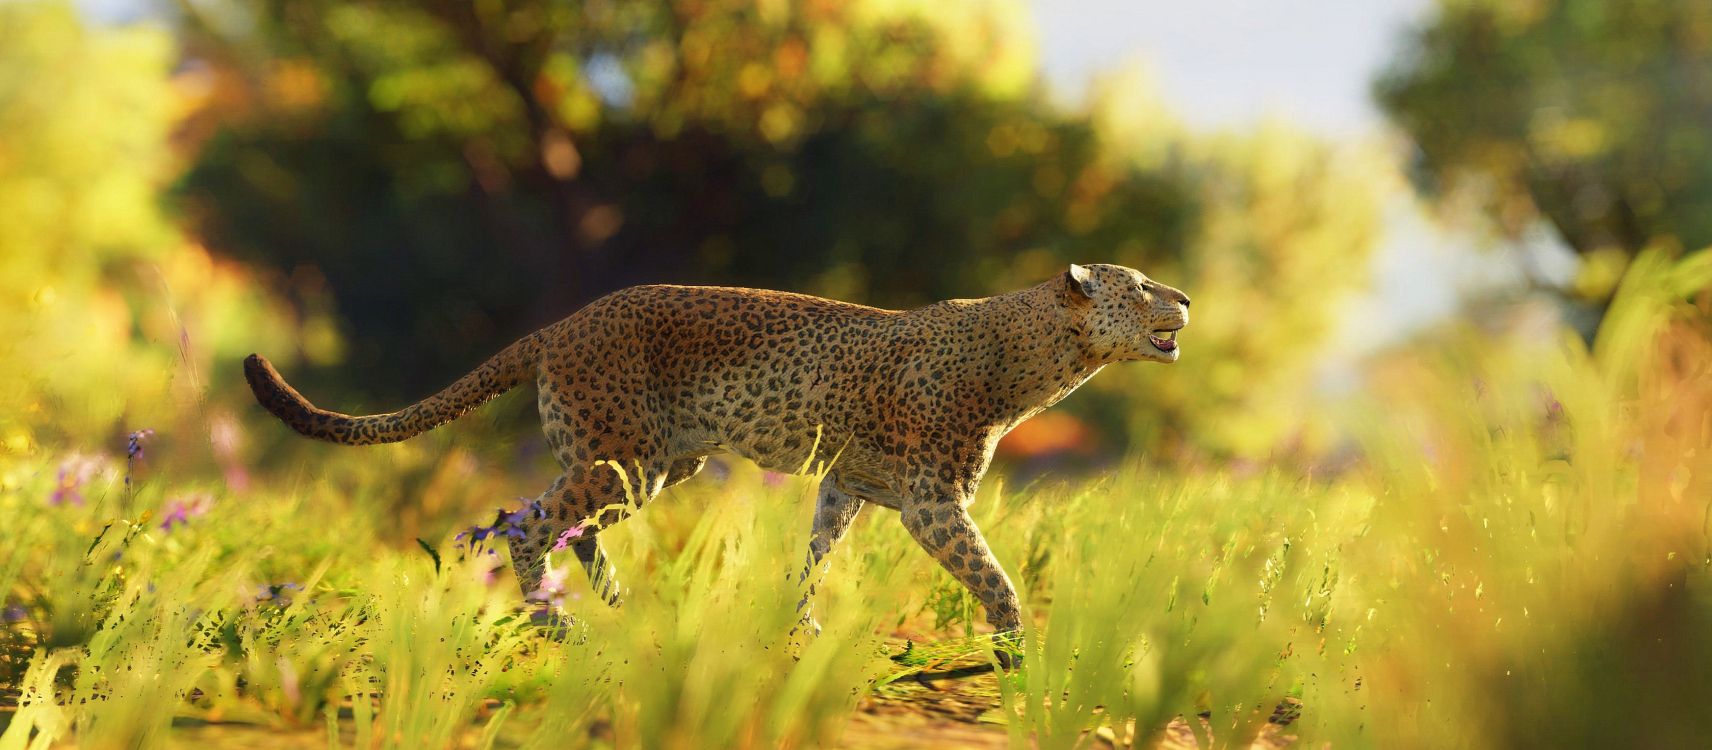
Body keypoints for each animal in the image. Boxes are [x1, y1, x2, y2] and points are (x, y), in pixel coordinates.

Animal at [244, 265, 1191, 650]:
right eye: (1140, 283)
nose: (1184, 296)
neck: (1042, 354)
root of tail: (563, 322)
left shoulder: (851, 485)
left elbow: (815, 555)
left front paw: (800, 627)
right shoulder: (932, 502)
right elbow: (994, 574)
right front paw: (1014, 647)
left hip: (653, 467)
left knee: (566, 526)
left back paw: (614, 607)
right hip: (621, 459)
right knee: (527, 520)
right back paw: (554, 621)